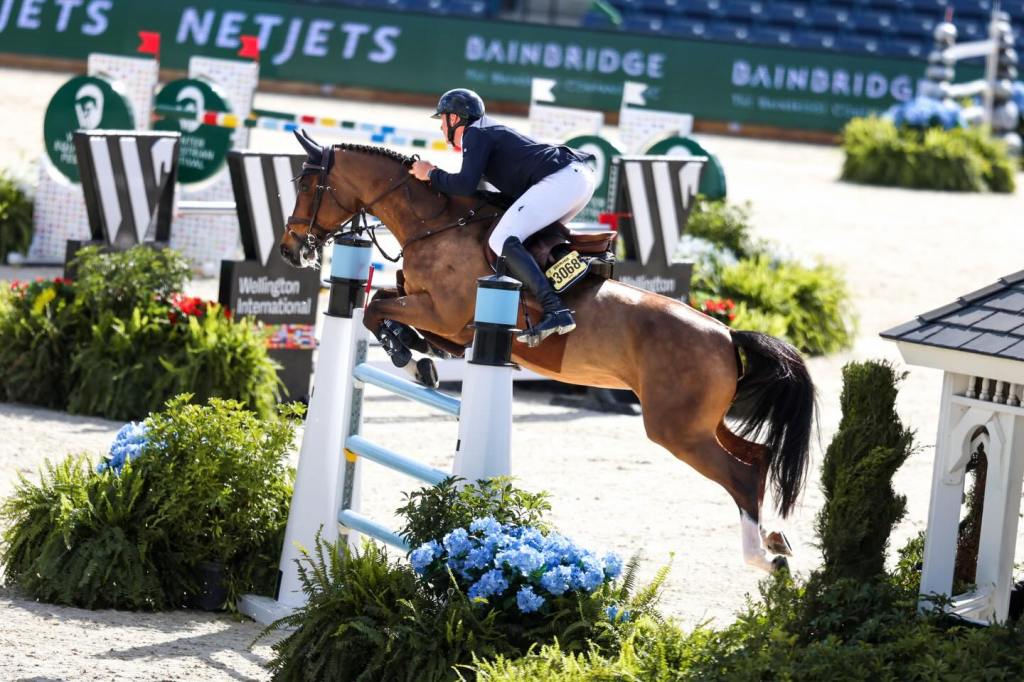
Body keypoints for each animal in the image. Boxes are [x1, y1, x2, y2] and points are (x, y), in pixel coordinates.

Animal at [279, 130, 816, 572]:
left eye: (306, 184)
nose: (290, 249)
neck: (435, 224)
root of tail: (726, 336)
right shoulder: (443, 322)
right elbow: (385, 303)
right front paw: (417, 359)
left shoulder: (445, 314)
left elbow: (375, 308)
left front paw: (406, 356)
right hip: (701, 424)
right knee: (758, 457)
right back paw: (776, 541)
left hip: (676, 430)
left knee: (739, 475)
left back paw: (763, 558)